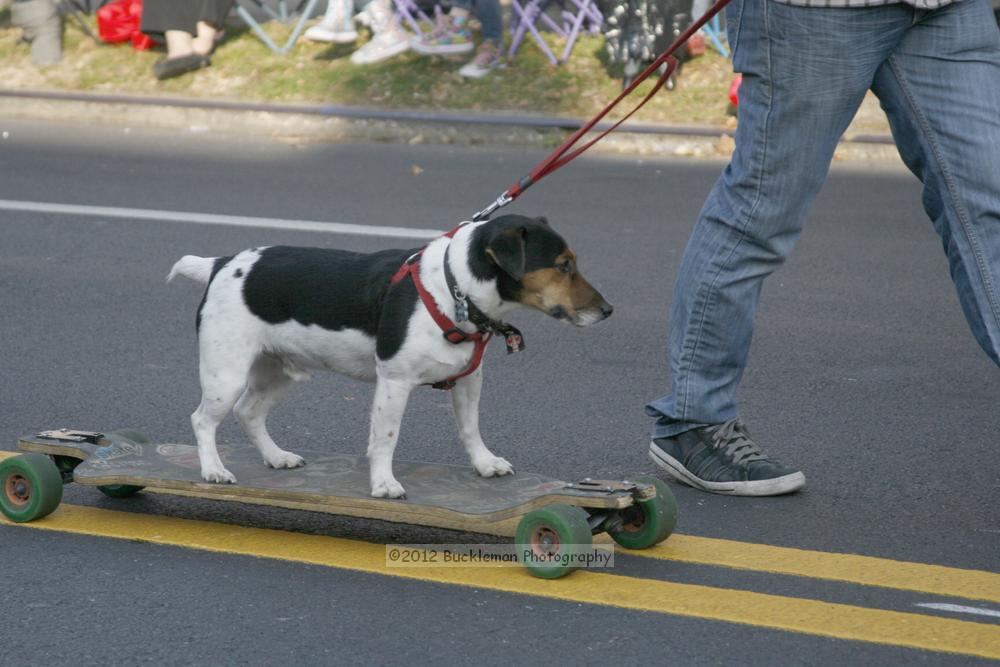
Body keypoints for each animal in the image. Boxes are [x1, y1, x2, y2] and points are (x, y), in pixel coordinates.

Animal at [168, 214, 612, 496]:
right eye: (563, 265)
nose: (608, 311)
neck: (454, 291)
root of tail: (221, 265)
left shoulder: (469, 379)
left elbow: (471, 429)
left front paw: (485, 465)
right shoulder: (394, 383)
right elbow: (385, 439)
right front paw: (383, 484)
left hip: (279, 372)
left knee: (250, 412)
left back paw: (276, 457)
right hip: (226, 375)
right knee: (202, 419)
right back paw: (213, 470)